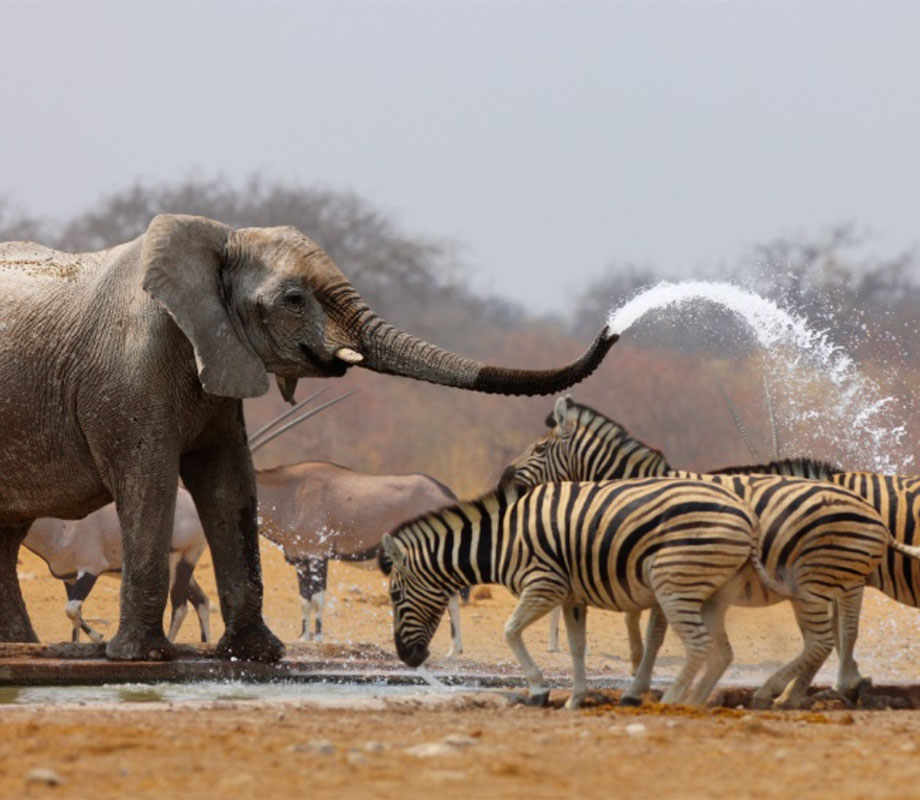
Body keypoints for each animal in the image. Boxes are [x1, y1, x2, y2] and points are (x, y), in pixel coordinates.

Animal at [1, 212, 620, 664]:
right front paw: (142, 658)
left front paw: (257, 654)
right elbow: (151, 484)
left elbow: (229, 485)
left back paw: (19, 645)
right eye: (295, 299)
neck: (218, 240)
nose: (614, 326)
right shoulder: (129, 377)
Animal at [378, 476, 760, 708]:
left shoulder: (544, 584)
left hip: (674, 582)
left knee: (698, 644)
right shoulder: (572, 596)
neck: (502, 540)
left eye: (395, 597)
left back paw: (671, 701)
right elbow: (576, 647)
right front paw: (575, 700)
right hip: (703, 590)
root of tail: (746, 512)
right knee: (711, 649)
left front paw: (538, 690)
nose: (407, 658)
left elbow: (510, 631)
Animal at [506, 394, 916, 708]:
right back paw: (810, 689)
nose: (506, 479)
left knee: (836, 632)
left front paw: (640, 687)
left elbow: (654, 634)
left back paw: (799, 690)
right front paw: (641, 678)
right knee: (833, 634)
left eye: (540, 448)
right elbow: (640, 627)